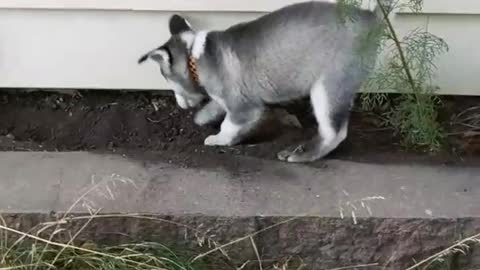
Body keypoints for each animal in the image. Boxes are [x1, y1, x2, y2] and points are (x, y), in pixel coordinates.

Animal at [140, 1, 386, 162]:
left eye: (167, 79)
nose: (179, 105)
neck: (196, 56)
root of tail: (369, 18)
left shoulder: (245, 106)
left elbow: (229, 124)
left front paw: (219, 138)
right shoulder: (228, 97)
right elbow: (216, 105)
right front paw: (203, 117)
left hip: (328, 87)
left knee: (334, 132)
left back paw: (303, 154)